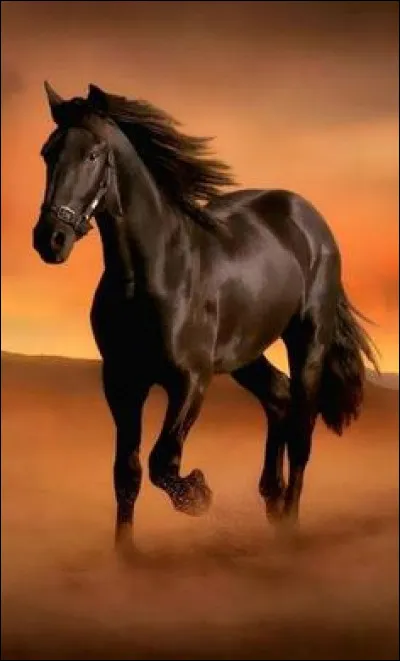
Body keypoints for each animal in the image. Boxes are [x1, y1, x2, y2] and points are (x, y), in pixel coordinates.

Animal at [33, 82, 379, 557]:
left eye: (93, 154)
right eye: (48, 152)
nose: (50, 240)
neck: (152, 273)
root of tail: (310, 217)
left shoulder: (191, 380)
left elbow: (163, 461)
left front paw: (199, 494)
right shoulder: (122, 382)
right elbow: (128, 472)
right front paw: (125, 555)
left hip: (308, 341)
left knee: (302, 431)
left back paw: (289, 524)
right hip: (245, 354)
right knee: (279, 398)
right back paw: (271, 499)